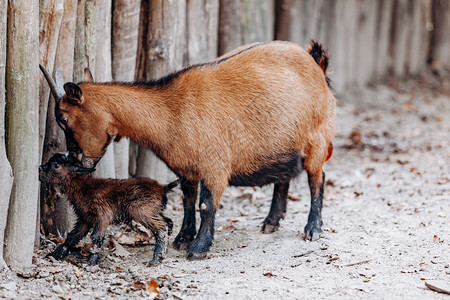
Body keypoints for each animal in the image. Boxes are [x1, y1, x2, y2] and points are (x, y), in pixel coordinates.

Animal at [38, 154, 178, 266]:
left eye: (56, 165)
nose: (40, 168)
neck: (83, 188)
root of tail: (163, 188)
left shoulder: (102, 215)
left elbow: (96, 237)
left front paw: (91, 262)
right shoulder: (85, 218)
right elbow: (73, 236)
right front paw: (55, 254)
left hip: (143, 211)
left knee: (161, 228)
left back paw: (156, 259)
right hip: (154, 210)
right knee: (168, 221)